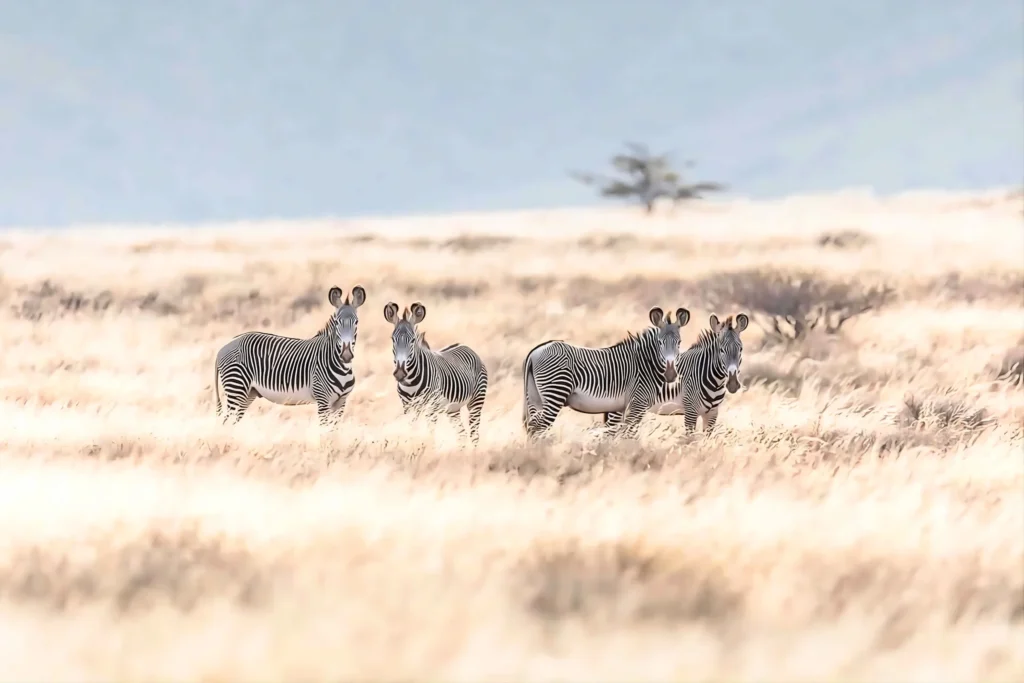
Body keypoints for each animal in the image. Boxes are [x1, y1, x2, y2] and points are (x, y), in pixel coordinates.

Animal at [213, 285, 366, 426]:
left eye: (357, 322)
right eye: (337, 322)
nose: (346, 354)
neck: (342, 366)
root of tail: (224, 347)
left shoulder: (341, 402)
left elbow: (334, 430)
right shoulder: (323, 400)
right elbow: (325, 429)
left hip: (248, 393)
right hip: (236, 387)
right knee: (226, 422)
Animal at [384, 301, 489, 444]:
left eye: (413, 340)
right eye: (392, 339)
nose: (400, 373)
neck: (410, 382)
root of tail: (464, 345)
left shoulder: (431, 408)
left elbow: (430, 435)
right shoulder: (408, 408)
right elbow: (412, 432)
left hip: (476, 401)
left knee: (474, 434)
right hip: (453, 409)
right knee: (462, 434)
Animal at [521, 306, 691, 439]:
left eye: (679, 342)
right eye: (660, 342)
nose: (670, 375)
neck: (644, 364)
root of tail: (536, 351)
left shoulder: (621, 406)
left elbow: (616, 432)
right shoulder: (637, 403)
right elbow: (629, 433)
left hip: (535, 397)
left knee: (532, 426)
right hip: (555, 391)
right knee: (539, 427)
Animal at [603, 313, 749, 434]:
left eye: (741, 349)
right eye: (721, 350)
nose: (733, 384)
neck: (714, 380)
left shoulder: (712, 413)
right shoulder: (690, 411)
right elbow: (689, 439)